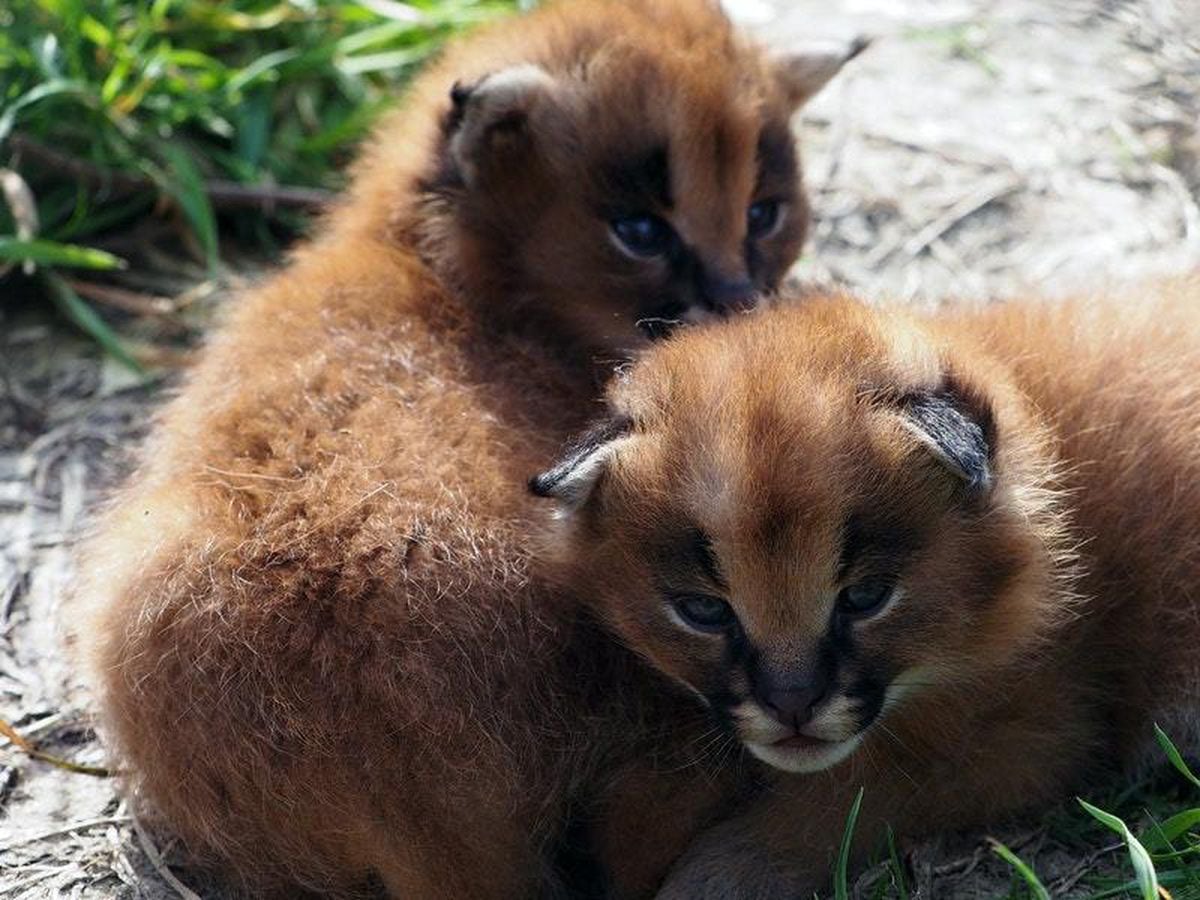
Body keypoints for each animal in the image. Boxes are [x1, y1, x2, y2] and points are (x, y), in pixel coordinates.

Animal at [540, 278, 1200, 897]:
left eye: (865, 598)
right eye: (703, 610)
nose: (792, 706)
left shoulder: (1029, 737)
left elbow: (850, 803)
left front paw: (718, 874)